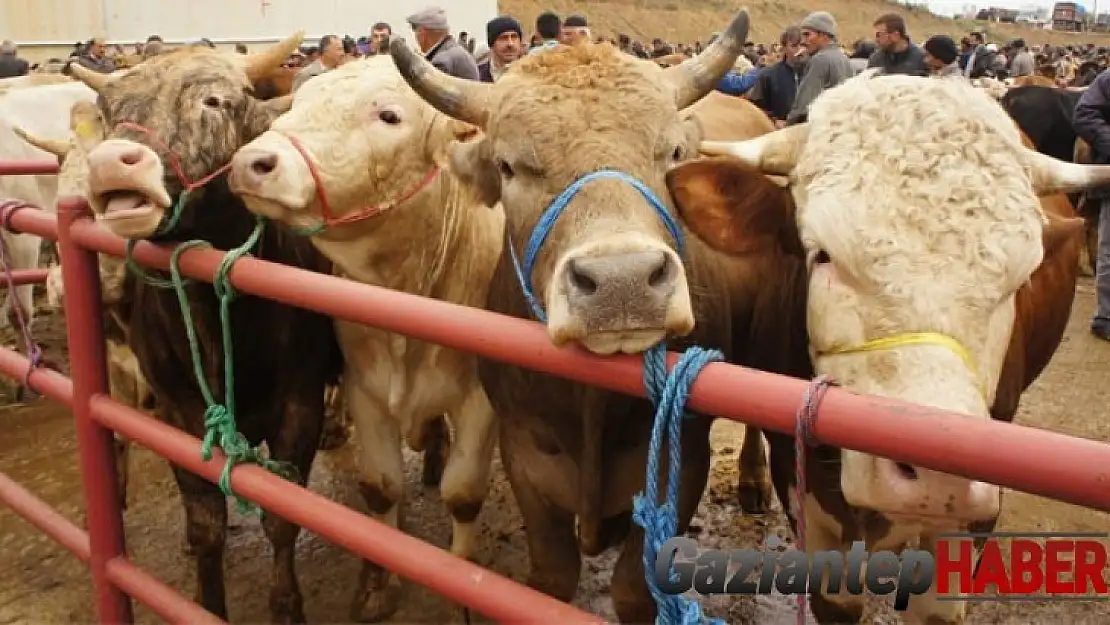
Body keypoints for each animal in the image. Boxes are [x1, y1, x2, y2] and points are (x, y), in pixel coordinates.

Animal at [67, 36, 344, 621]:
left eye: (214, 101)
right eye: (108, 109)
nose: (111, 164)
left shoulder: (299, 405)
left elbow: (281, 518)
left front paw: (286, 604)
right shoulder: (176, 411)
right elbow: (206, 522)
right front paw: (207, 598)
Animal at [225, 56, 503, 621]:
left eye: (389, 115)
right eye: (299, 103)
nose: (252, 162)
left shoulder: (479, 400)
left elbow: (463, 494)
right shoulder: (365, 388)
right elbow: (380, 489)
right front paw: (378, 582)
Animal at [388, 12, 781, 621]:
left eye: (671, 153)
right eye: (508, 166)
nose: (623, 282)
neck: (592, 405)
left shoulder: (682, 462)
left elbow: (633, 588)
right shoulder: (524, 452)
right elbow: (552, 572)